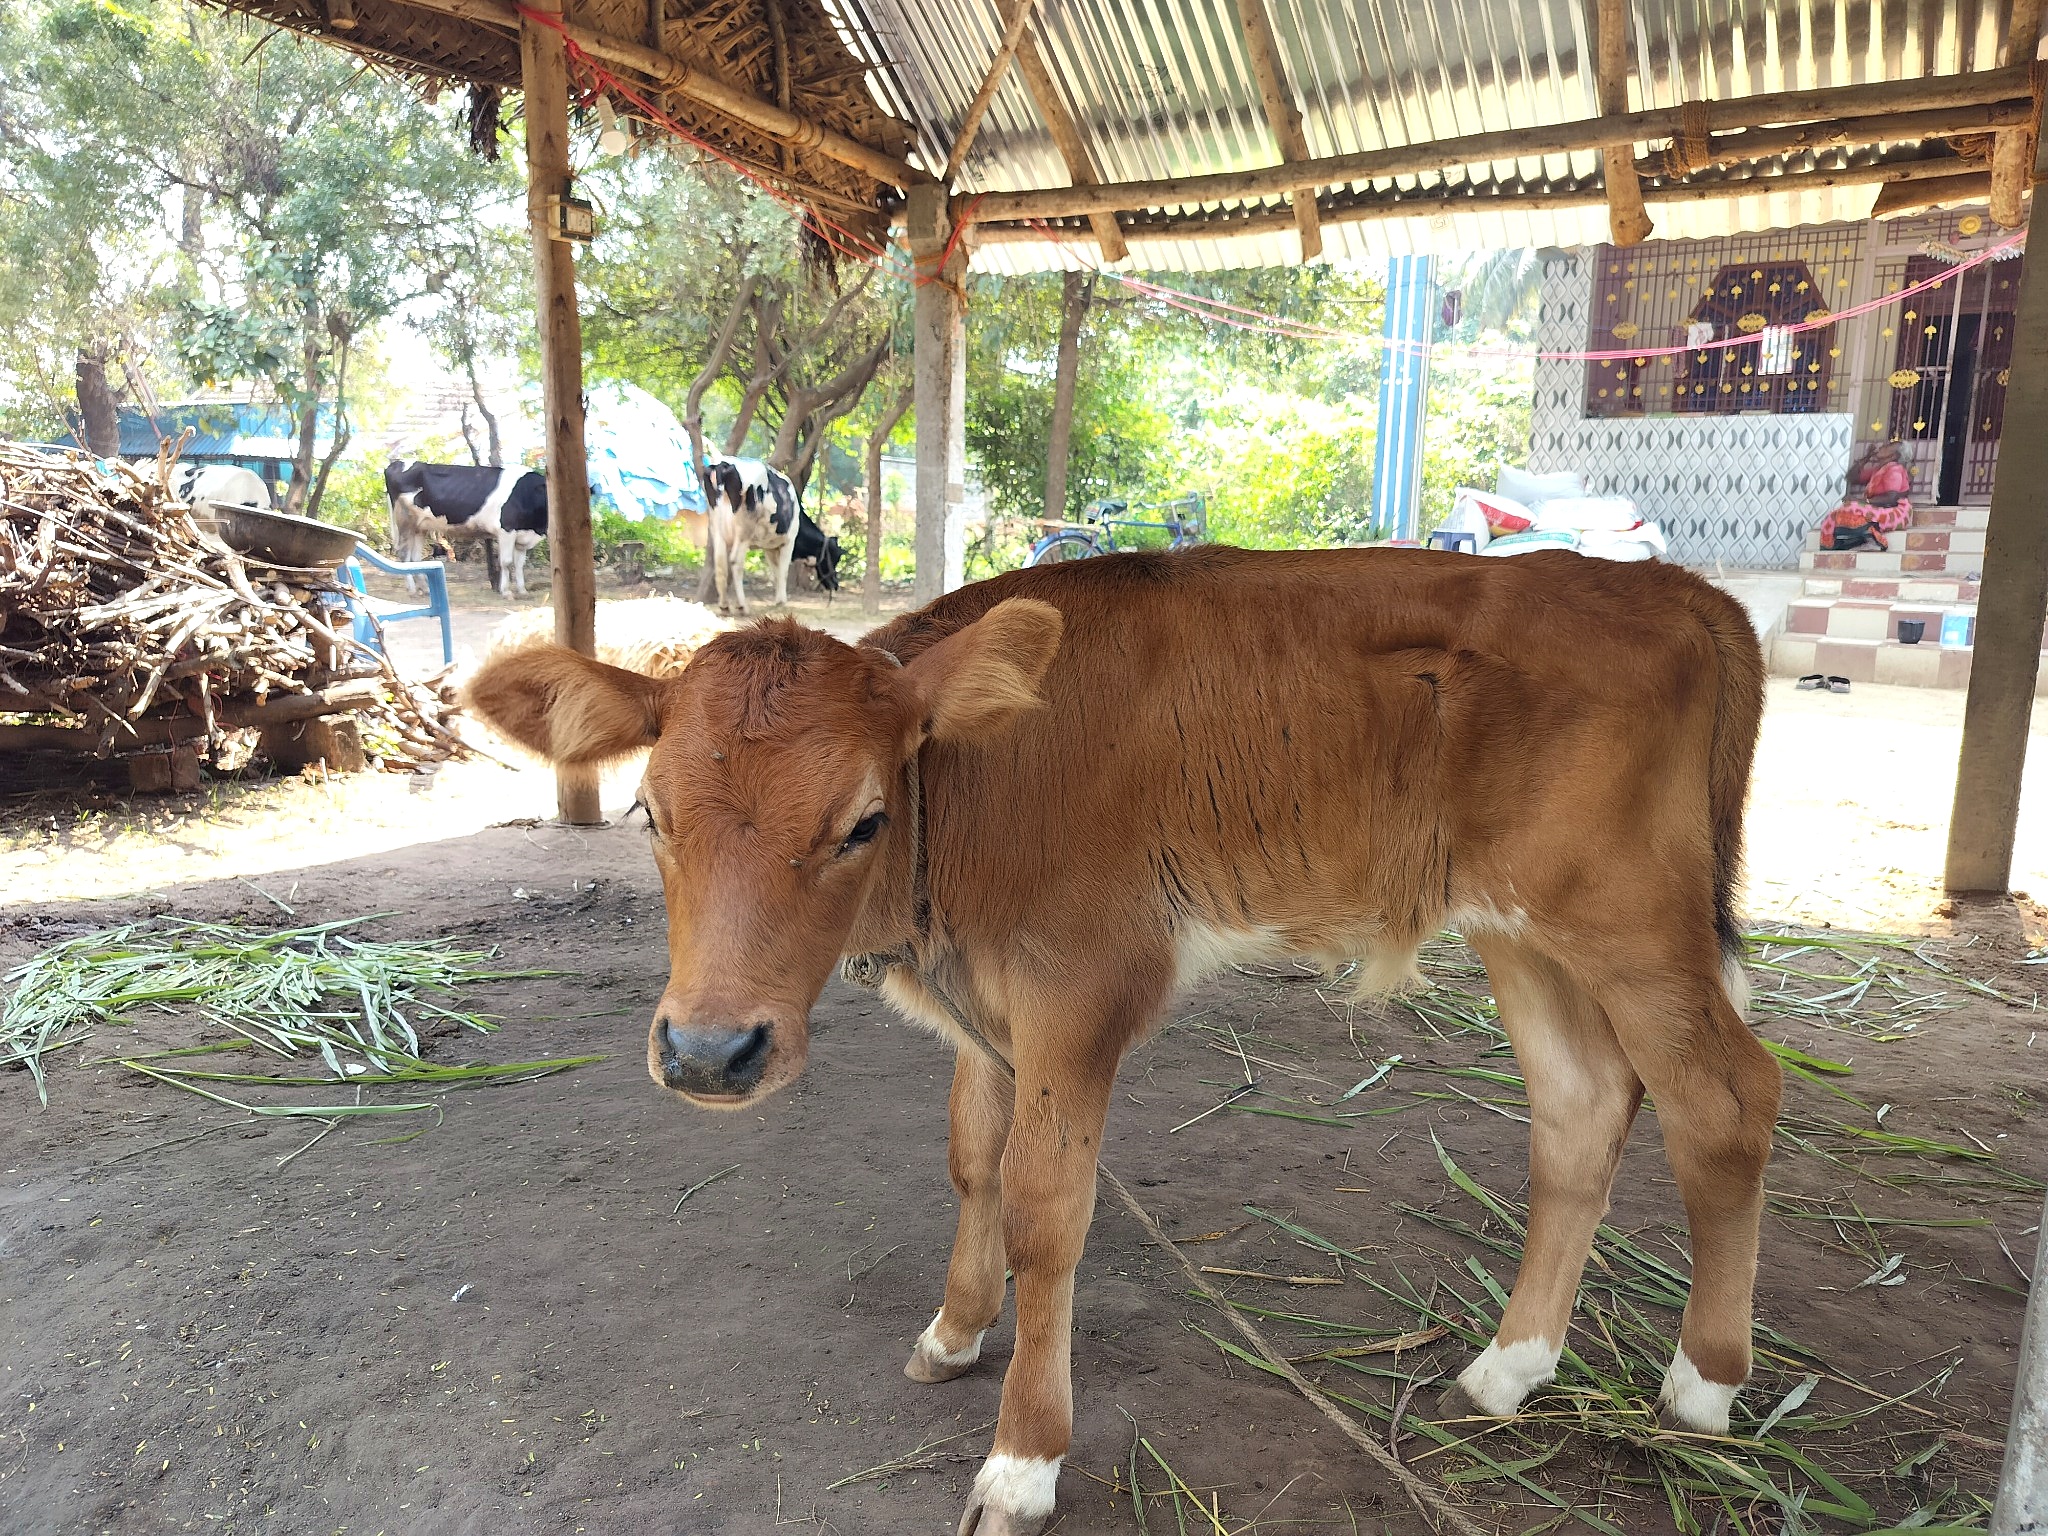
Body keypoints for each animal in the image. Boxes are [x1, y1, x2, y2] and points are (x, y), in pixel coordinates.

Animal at [385, 460, 548, 598]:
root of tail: (396, 463)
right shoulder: (506, 530)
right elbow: (506, 562)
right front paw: (506, 592)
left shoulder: (522, 536)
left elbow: (520, 564)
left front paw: (523, 591)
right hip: (405, 521)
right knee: (404, 555)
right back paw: (412, 590)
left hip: (420, 527)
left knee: (416, 558)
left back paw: (425, 589)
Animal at [465, 547, 1779, 1536]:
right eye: (649, 815)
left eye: (863, 822)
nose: (707, 1055)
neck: (972, 805)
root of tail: (1670, 586)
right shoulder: (987, 1015)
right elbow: (971, 1162)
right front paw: (954, 1331)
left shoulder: (1077, 994)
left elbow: (1046, 1210)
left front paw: (1022, 1461)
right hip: (1524, 930)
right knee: (1581, 1108)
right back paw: (1509, 1367)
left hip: (1630, 920)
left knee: (1726, 1099)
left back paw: (1702, 1384)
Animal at [696, 456, 813, 614]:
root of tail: (723, 464)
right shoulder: (788, 541)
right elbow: (783, 571)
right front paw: (781, 600)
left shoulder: (769, 547)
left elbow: (775, 571)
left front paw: (778, 599)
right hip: (744, 529)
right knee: (735, 561)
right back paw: (742, 606)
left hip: (717, 528)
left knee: (720, 564)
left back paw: (724, 605)